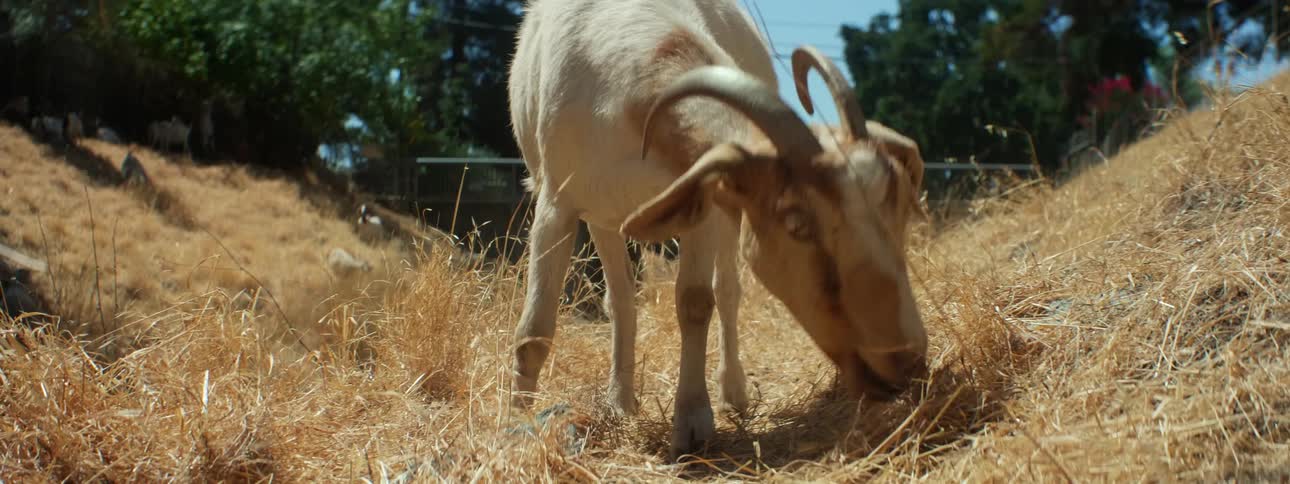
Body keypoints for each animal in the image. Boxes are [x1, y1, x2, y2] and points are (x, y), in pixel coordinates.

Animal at [507, 0, 929, 458]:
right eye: (796, 223)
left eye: (899, 212)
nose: (905, 360)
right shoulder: (556, 203)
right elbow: (535, 330)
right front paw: (516, 422)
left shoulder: (704, 200)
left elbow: (695, 301)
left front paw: (693, 423)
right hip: (603, 218)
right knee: (620, 299)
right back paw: (621, 402)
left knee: (726, 292)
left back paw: (733, 392)